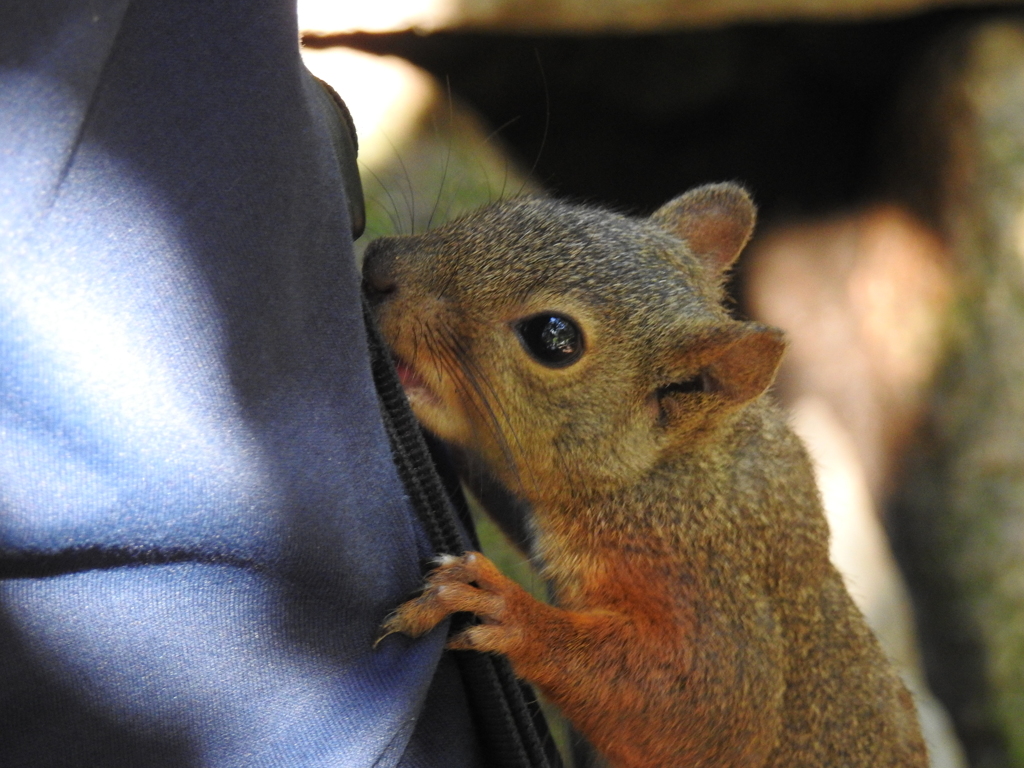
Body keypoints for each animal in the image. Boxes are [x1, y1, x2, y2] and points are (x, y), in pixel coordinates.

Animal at [366, 185, 929, 768]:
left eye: (553, 338)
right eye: (510, 210)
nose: (379, 266)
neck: (665, 474)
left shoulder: (703, 581)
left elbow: (706, 716)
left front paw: (503, 609)